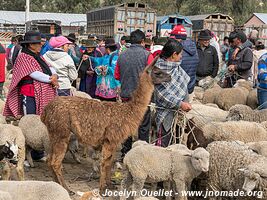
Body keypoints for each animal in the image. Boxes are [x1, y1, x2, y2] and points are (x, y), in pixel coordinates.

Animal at [41, 58, 173, 194]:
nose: (170, 77)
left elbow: (110, 162)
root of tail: (45, 111)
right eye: (158, 72)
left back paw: (57, 184)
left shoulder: (114, 141)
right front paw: (101, 189)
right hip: (61, 133)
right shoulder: (110, 139)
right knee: (55, 162)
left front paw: (110, 185)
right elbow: (104, 163)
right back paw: (67, 189)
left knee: (49, 160)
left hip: (54, 134)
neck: (128, 112)